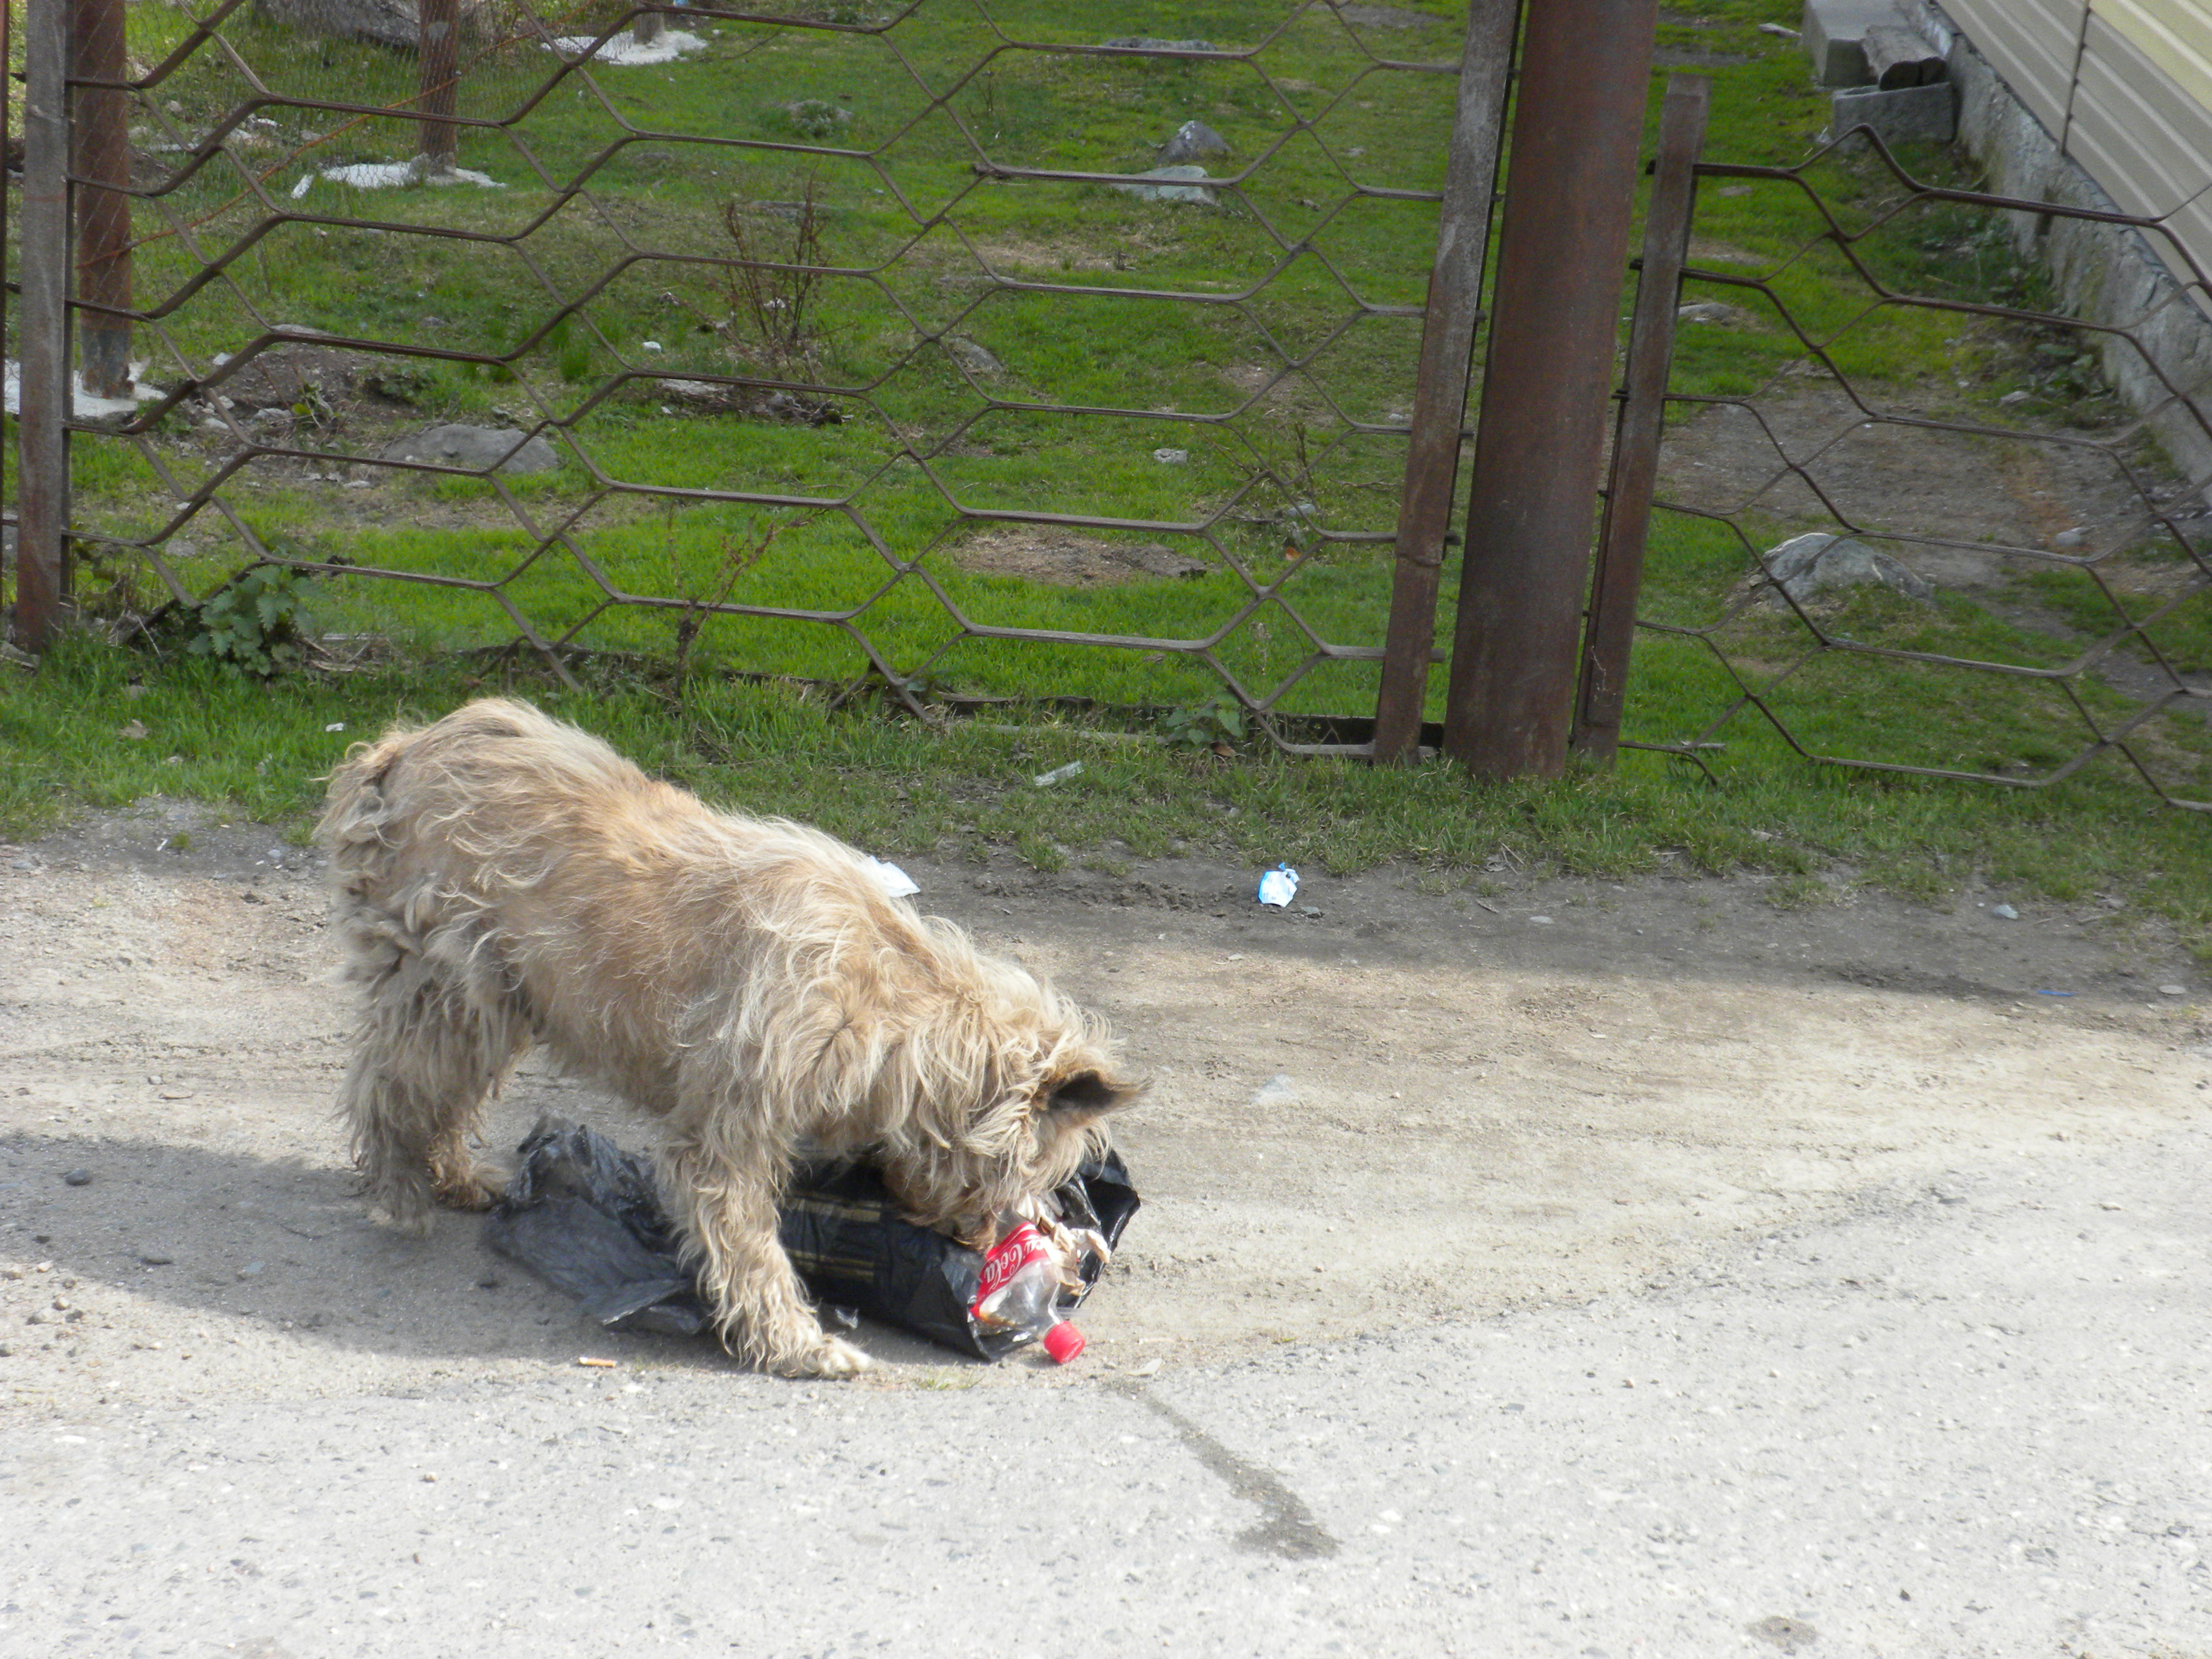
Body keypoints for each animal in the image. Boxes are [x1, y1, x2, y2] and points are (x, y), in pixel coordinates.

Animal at [316, 697, 1139, 1377]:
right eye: (1027, 1173)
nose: (984, 1238)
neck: (886, 1001)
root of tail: (402, 749)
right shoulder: (728, 1136)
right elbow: (749, 1248)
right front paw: (797, 1344)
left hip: (497, 1004)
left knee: (435, 1094)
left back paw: (455, 1175)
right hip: (449, 991)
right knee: (388, 1084)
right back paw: (401, 1190)